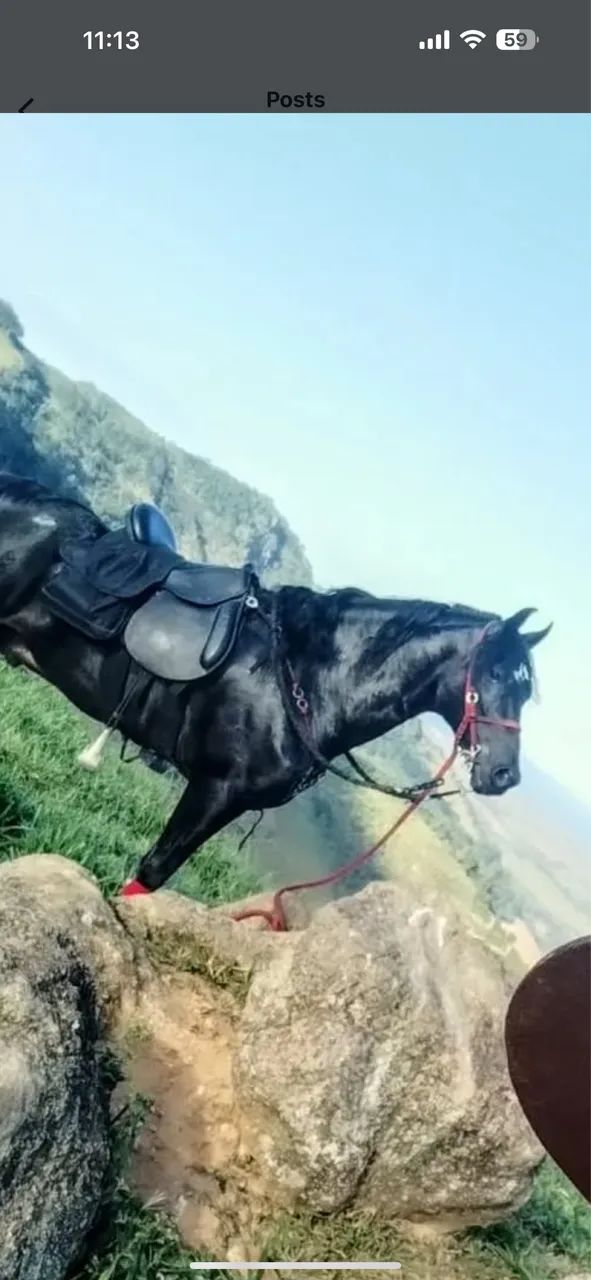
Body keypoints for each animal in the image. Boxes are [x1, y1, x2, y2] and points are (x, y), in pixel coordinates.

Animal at [0, 474, 551, 893]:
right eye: (494, 673)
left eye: (526, 691)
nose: (504, 774)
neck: (303, 677)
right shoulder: (215, 789)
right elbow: (153, 872)